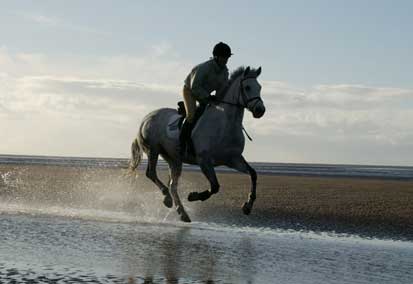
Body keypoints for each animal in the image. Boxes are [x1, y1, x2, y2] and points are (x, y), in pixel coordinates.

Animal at [129, 66, 264, 222]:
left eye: (259, 87)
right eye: (247, 87)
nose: (260, 110)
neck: (225, 124)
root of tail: (146, 118)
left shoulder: (233, 159)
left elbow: (253, 174)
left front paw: (248, 206)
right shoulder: (204, 160)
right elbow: (215, 186)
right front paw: (193, 196)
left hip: (174, 159)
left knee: (172, 185)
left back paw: (182, 213)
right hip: (153, 150)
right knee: (152, 174)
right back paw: (167, 198)